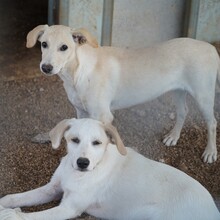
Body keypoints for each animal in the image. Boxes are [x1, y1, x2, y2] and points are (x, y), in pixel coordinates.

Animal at [0, 118, 220, 220]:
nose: (82, 162)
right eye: (74, 140)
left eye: (97, 143)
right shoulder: (52, 189)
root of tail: (212, 208)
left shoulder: (69, 208)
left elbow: (27, 216)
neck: (77, 175)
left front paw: (11, 215)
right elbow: (13, 198)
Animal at [26, 24, 220, 162]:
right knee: (183, 112)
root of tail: (211, 48)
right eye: (44, 44)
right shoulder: (81, 112)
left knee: (212, 123)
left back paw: (210, 152)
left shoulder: (103, 116)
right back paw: (173, 137)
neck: (77, 72)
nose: (46, 67)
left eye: (64, 47)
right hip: (178, 91)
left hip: (203, 95)